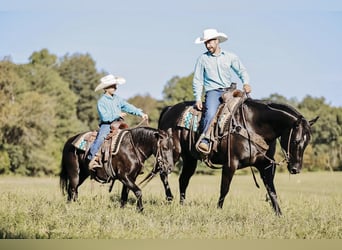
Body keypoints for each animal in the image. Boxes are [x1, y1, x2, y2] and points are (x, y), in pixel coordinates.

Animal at [158, 97, 318, 215]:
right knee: (163, 172)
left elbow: (272, 191)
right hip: (172, 153)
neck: (254, 125)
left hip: (190, 159)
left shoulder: (266, 166)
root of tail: (169, 109)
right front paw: (218, 210)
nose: (296, 169)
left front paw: (279, 214)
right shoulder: (231, 163)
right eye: (296, 140)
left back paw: (182, 205)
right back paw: (169, 198)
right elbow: (224, 188)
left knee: (183, 180)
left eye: (307, 142)